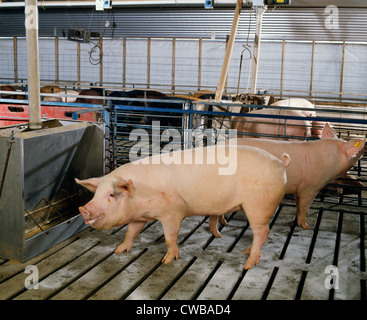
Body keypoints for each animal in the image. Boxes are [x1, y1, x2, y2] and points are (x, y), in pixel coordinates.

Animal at [77, 144, 290, 268]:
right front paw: (119, 250)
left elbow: (170, 238)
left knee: (262, 232)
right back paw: (246, 252)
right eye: (96, 193)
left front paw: (167, 261)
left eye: (112, 194)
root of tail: (280, 163)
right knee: (260, 235)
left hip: (259, 206)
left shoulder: (173, 212)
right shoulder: (139, 216)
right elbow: (131, 232)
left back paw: (247, 264)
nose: (83, 209)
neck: (141, 193)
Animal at [210, 124, 366, 236]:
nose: (361, 185)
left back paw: (225, 223)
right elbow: (304, 207)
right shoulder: (310, 187)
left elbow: (298, 205)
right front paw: (306, 226)